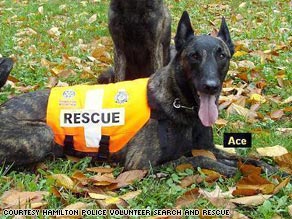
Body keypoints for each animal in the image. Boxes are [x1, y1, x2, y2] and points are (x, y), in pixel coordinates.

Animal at [0, 12, 276, 176]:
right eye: (194, 56)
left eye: (222, 55)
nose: (211, 86)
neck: (179, 105)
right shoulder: (140, 165)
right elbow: (195, 159)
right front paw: (225, 168)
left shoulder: (206, 146)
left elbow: (246, 157)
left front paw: (269, 168)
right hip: (43, 134)